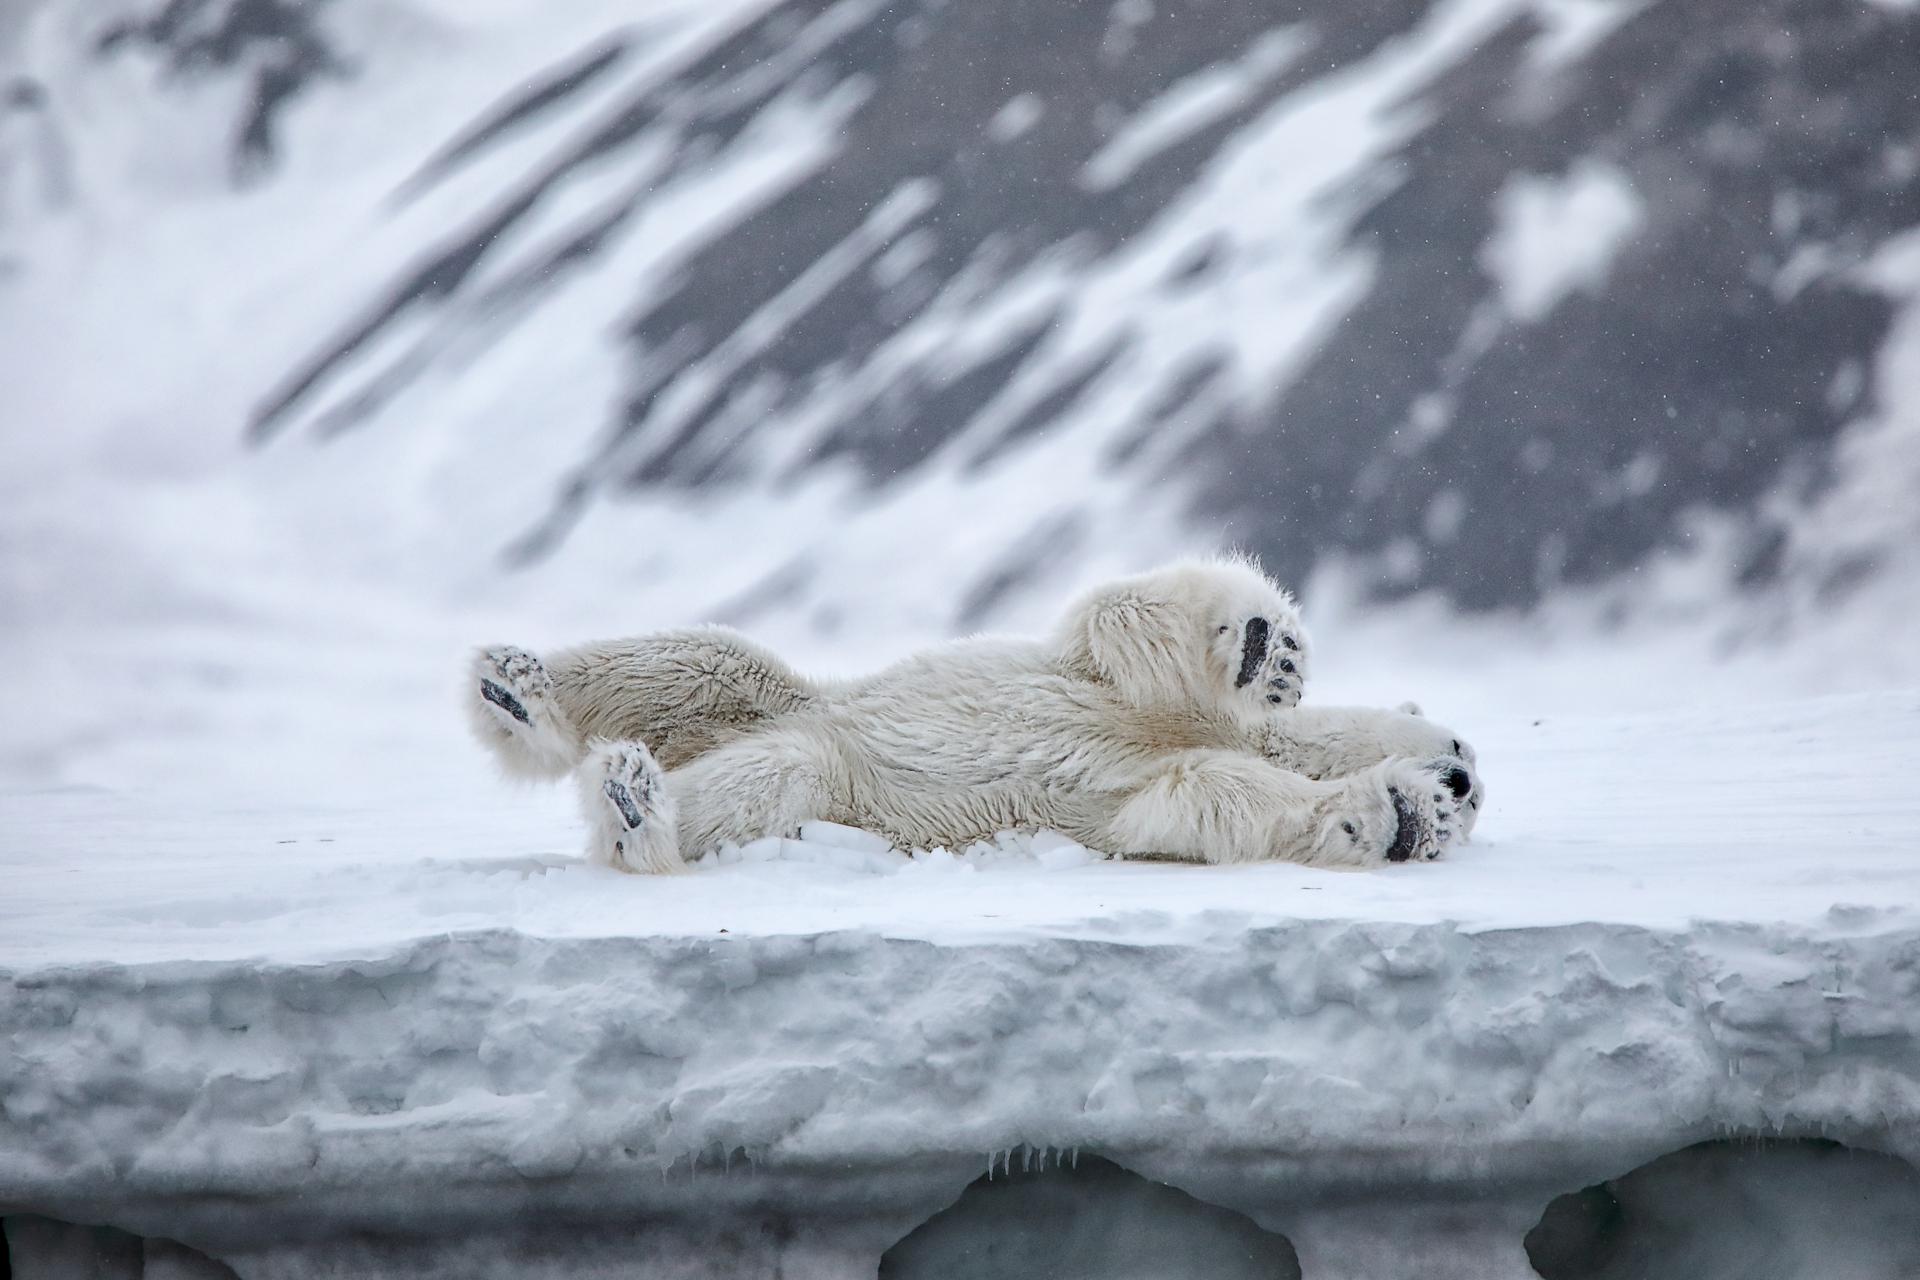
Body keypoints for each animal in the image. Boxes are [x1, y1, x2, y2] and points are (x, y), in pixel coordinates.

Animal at [468, 556, 1482, 871]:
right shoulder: (1105, 681)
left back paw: (636, 806)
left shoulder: (1131, 794)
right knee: (703, 661)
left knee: (764, 773)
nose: (1463, 779)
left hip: (830, 779)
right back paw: (516, 690)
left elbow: (1207, 798)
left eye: (1471, 794)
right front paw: (1267, 650)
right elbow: (1113, 618)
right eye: (1464, 744)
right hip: (795, 696)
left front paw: (1399, 815)